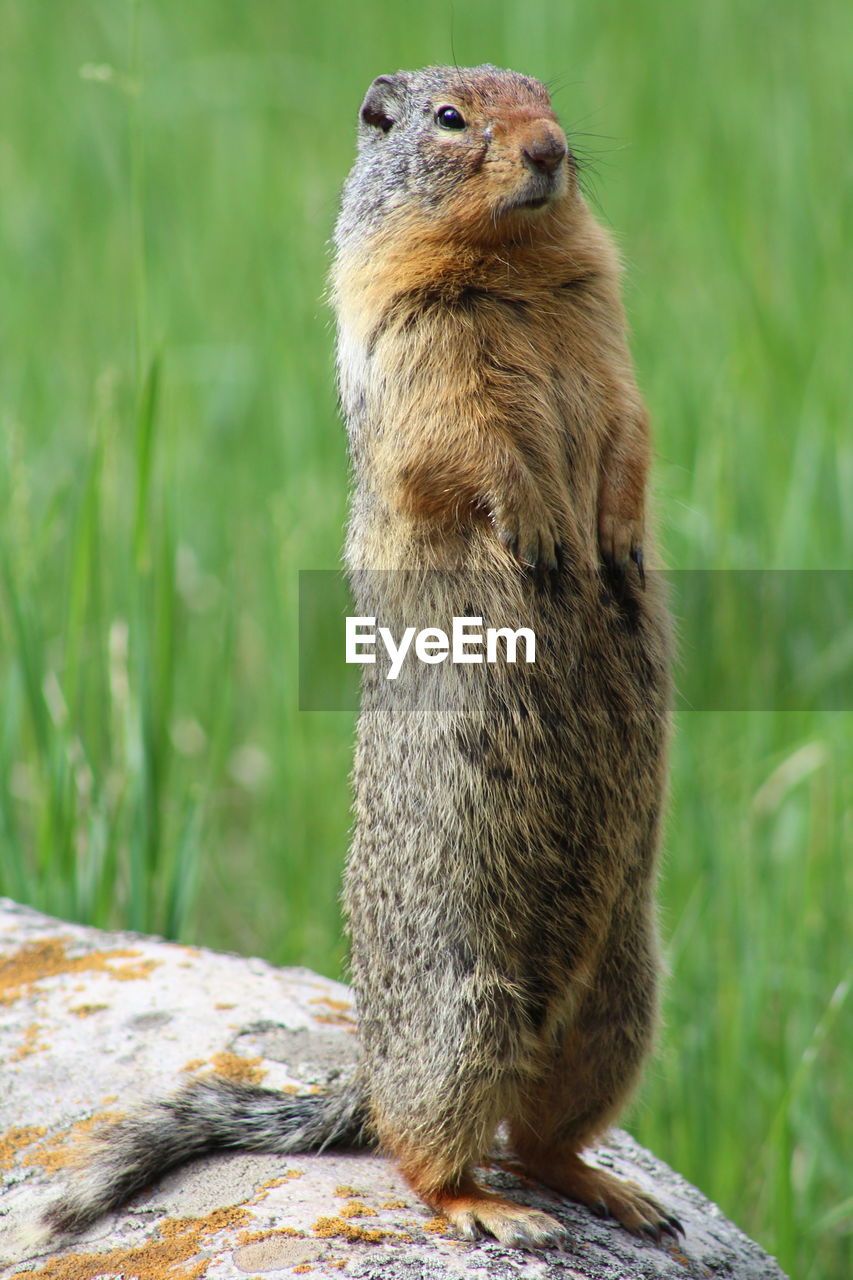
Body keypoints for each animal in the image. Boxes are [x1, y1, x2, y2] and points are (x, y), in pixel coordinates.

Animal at [43, 67, 676, 1249]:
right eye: (449, 118)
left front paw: (610, 537)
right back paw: (487, 1207)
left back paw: (617, 1191)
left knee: (545, 1136)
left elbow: (629, 428)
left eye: (544, 93)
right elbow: (471, 444)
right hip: (463, 1012)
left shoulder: (608, 338)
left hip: (624, 1004)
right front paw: (540, 532)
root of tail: (367, 1065)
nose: (550, 149)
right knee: (419, 1147)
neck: (515, 269)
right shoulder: (419, 349)